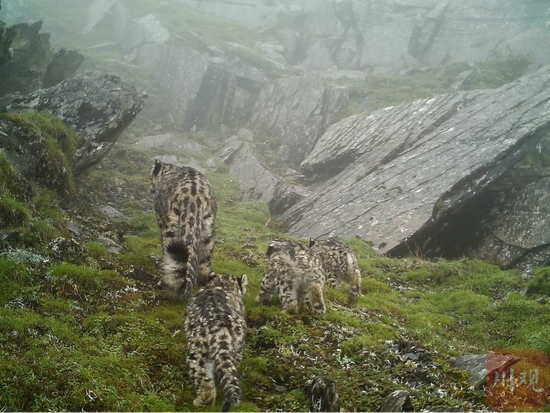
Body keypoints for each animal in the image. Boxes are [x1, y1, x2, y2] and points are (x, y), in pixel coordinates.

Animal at [184, 272, 249, 410]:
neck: (223, 286)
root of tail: (220, 327)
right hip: (237, 349)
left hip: (196, 352)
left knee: (204, 380)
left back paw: (200, 401)